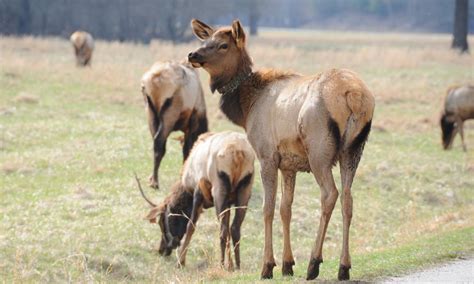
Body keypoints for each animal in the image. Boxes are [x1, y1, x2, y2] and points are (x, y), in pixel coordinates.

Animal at [137, 132, 256, 270]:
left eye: (162, 221)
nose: (162, 250)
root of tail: (238, 152)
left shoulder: (198, 192)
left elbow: (190, 225)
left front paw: (181, 262)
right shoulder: (229, 202)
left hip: (219, 190)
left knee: (223, 229)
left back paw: (223, 265)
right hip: (245, 190)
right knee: (235, 228)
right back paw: (237, 266)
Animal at [140, 60, 208, 189]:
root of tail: (157, 78)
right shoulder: (192, 123)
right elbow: (187, 150)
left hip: (150, 112)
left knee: (156, 142)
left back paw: (152, 180)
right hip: (170, 112)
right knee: (159, 142)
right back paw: (155, 182)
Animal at [187, 18, 376, 280]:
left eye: (223, 45)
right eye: (206, 40)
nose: (193, 54)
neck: (246, 108)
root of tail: (355, 96)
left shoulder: (267, 155)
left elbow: (268, 208)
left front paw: (268, 266)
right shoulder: (289, 164)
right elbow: (286, 208)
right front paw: (287, 264)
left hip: (319, 149)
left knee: (330, 194)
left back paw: (314, 262)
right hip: (353, 150)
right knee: (348, 198)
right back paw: (344, 266)